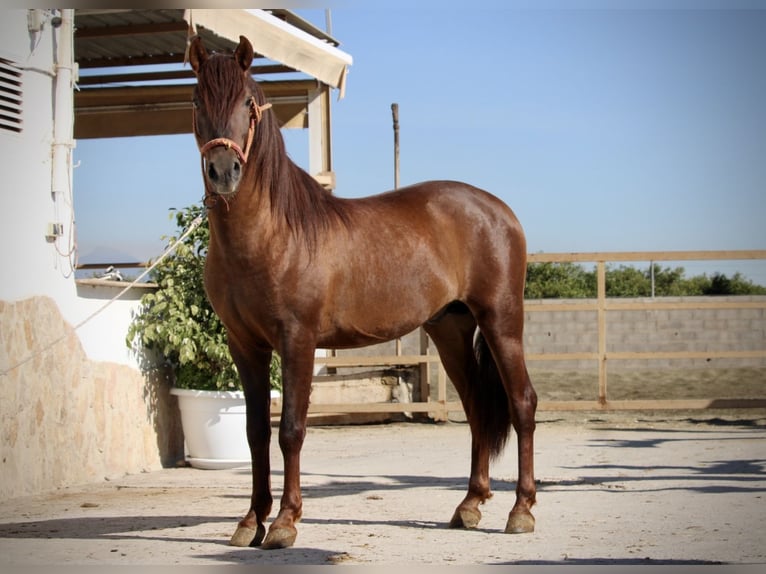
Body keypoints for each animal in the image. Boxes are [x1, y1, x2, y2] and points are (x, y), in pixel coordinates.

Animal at [188, 35, 537, 550]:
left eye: (247, 103)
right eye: (196, 100)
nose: (224, 171)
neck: (273, 233)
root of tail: (498, 209)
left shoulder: (298, 340)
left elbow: (290, 429)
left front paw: (285, 522)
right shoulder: (244, 345)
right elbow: (255, 432)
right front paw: (250, 521)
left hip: (501, 321)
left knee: (522, 404)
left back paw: (522, 511)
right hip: (450, 330)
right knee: (477, 409)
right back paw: (469, 506)